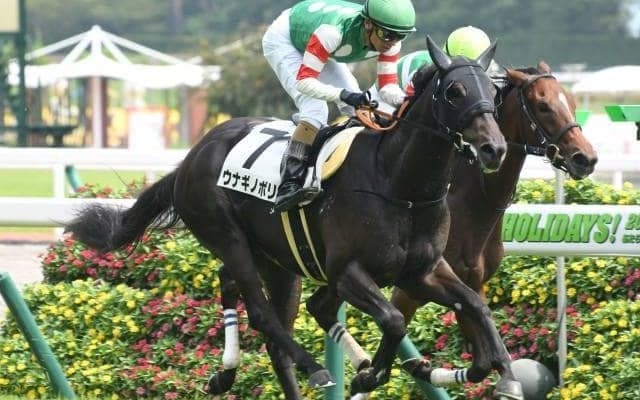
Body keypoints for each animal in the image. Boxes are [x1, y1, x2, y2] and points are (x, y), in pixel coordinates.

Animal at [65, 36, 516, 398]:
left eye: (494, 95)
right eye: (455, 91)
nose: (494, 148)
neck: (399, 186)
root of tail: (191, 158)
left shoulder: (422, 270)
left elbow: (475, 304)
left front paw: (494, 370)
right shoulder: (347, 271)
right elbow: (392, 319)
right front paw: (372, 373)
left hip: (278, 262)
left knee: (254, 306)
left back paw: (230, 374)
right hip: (226, 234)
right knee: (262, 314)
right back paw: (315, 368)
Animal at [206, 62, 598, 399]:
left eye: (572, 101)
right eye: (542, 105)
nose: (586, 158)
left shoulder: (466, 282)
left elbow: (480, 351)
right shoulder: (404, 289)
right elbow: (402, 329)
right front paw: (381, 374)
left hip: (284, 262)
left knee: (269, 298)